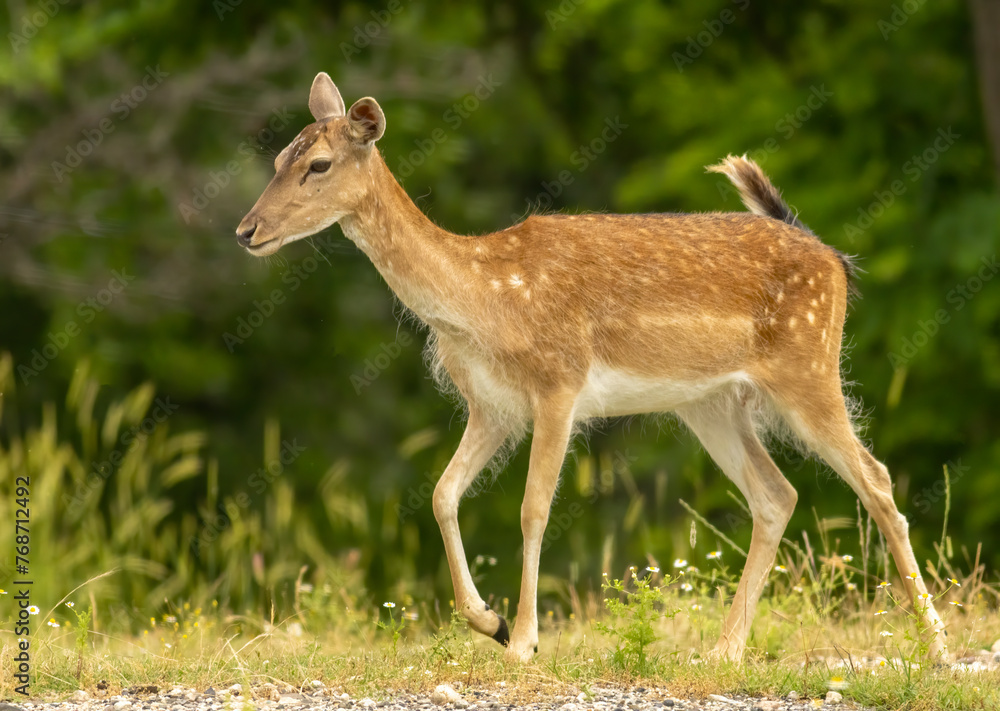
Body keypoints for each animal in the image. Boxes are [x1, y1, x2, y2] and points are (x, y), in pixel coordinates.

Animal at [234, 71, 944, 660]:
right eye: (277, 159)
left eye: (318, 163)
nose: (246, 230)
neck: (481, 300)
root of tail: (832, 257)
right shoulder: (491, 405)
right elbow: (441, 493)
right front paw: (489, 622)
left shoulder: (559, 382)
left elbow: (532, 507)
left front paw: (522, 641)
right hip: (709, 402)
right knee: (777, 494)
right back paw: (725, 650)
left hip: (808, 366)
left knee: (876, 479)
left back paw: (935, 647)